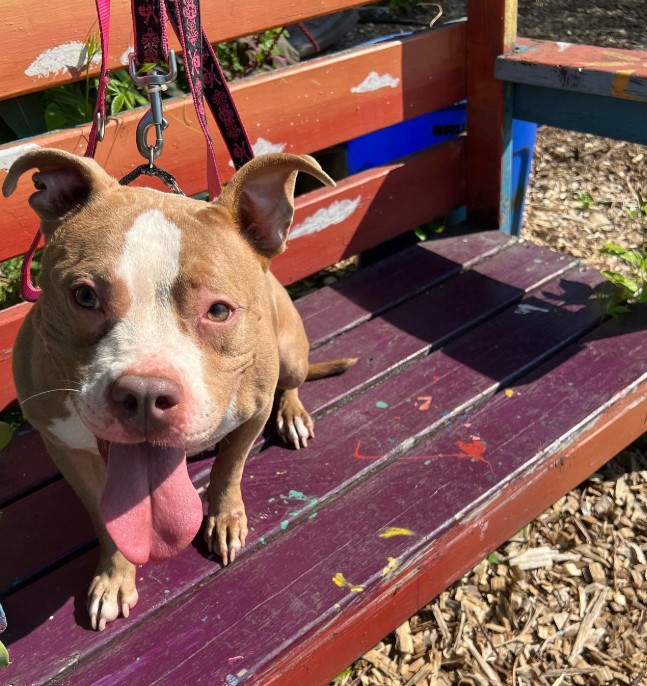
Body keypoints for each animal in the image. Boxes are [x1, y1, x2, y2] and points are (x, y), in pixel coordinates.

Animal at [2, 152, 356, 636]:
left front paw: (225, 518)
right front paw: (114, 577)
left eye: (219, 310)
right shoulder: (63, 445)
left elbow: (229, 468)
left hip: (290, 354)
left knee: (292, 382)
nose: (144, 395)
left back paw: (294, 414)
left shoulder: (253, 412)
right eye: (84, 297)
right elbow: (106, 517)